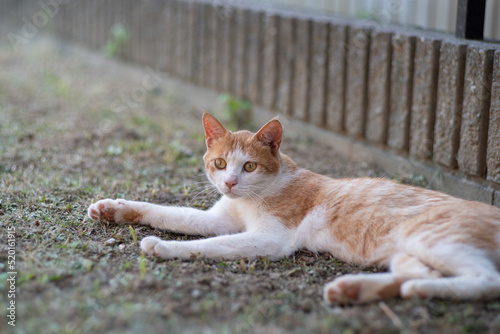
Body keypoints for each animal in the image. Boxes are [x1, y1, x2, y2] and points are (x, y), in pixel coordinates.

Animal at [88, 113, 500, 306]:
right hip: (407, 252)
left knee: (487, 281)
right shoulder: (219, 219)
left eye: (249, 166)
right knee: (412, 276)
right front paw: (114, 209)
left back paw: (413, 289)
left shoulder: (271, 239)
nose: (230, 183)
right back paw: (354, 289)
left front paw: (164, 247)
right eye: (220, 164)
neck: (257, 194)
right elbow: (170, 212)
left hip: (430, 237)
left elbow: (207, 246)